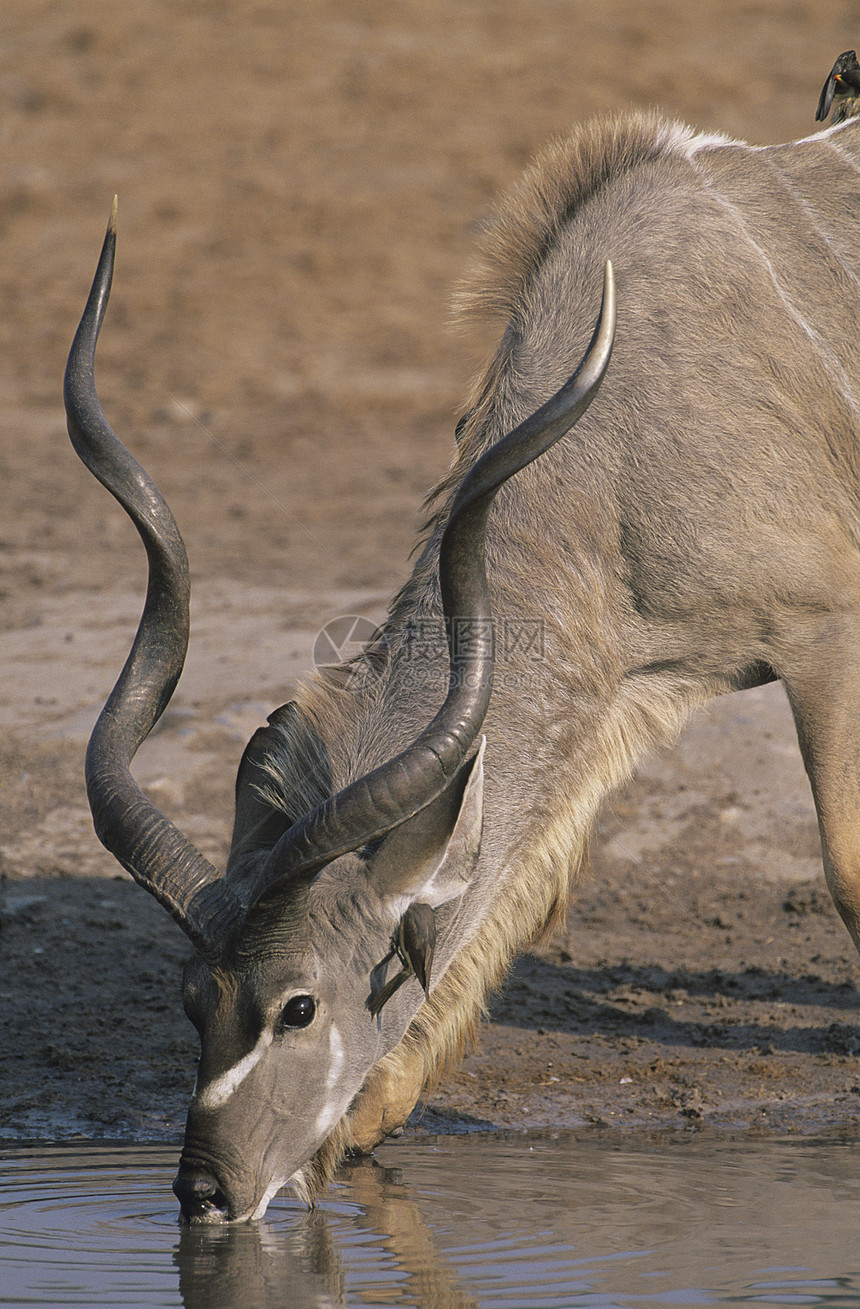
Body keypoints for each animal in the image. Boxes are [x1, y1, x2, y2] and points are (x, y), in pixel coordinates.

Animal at [68, 107, 860, 1219]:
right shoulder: (616, 699)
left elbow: (845, 868)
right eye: (192, 998)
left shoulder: (824, 626)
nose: (205, 1192)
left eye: (297, 1005)